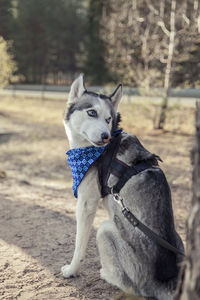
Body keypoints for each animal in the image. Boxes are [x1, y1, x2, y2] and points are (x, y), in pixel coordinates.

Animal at [61, 75, 184, 300]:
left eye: (108, 119)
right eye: (91, 112)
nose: (105, 136)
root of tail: (163, 281)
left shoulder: (86, 204)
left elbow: (79, 245)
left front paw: (72, 270)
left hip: (105, 229)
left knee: (130, 286)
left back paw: (106, 274)